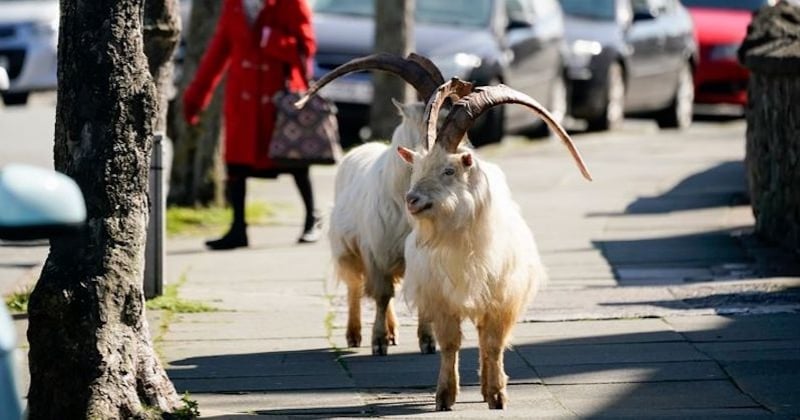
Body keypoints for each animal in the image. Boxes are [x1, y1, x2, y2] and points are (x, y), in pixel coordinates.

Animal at [396, 79, 592, 410]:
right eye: (416, 169)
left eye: (449, 170)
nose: (412, 200)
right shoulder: (442, 299)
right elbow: (450, 343)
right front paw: (445, 396)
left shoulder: (502, 297)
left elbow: (493, 343)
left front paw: (498, 395)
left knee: (486, 339)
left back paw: (488, 388)